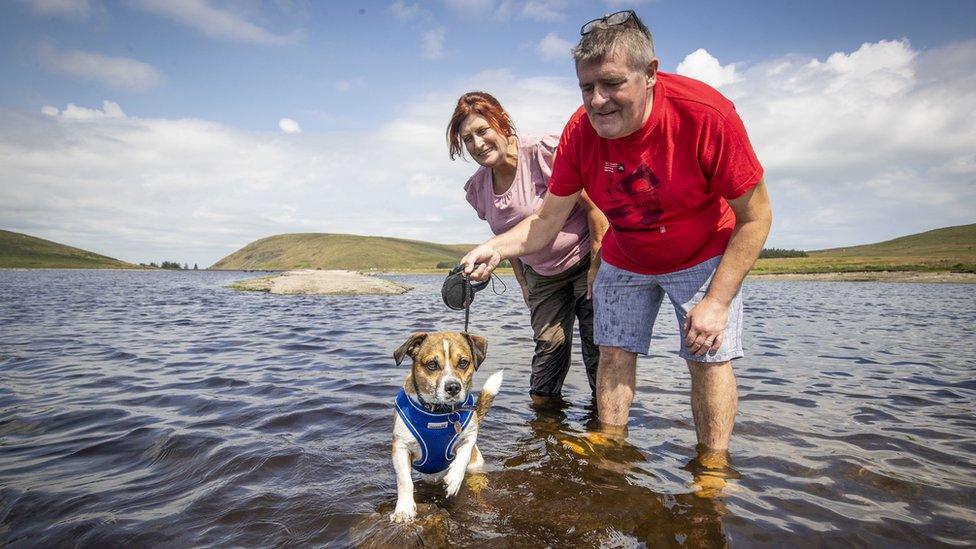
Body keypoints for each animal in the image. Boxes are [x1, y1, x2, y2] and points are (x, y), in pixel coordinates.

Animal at [388, 330, 504, 524]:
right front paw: (404, 510)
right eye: (432, 365)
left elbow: (463, 455)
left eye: (463, 362)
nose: (453, 387)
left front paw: (454, 479)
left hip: (476, 472)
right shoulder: (400, 447)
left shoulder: (470, 435)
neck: (438, 413)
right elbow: (405, 481)